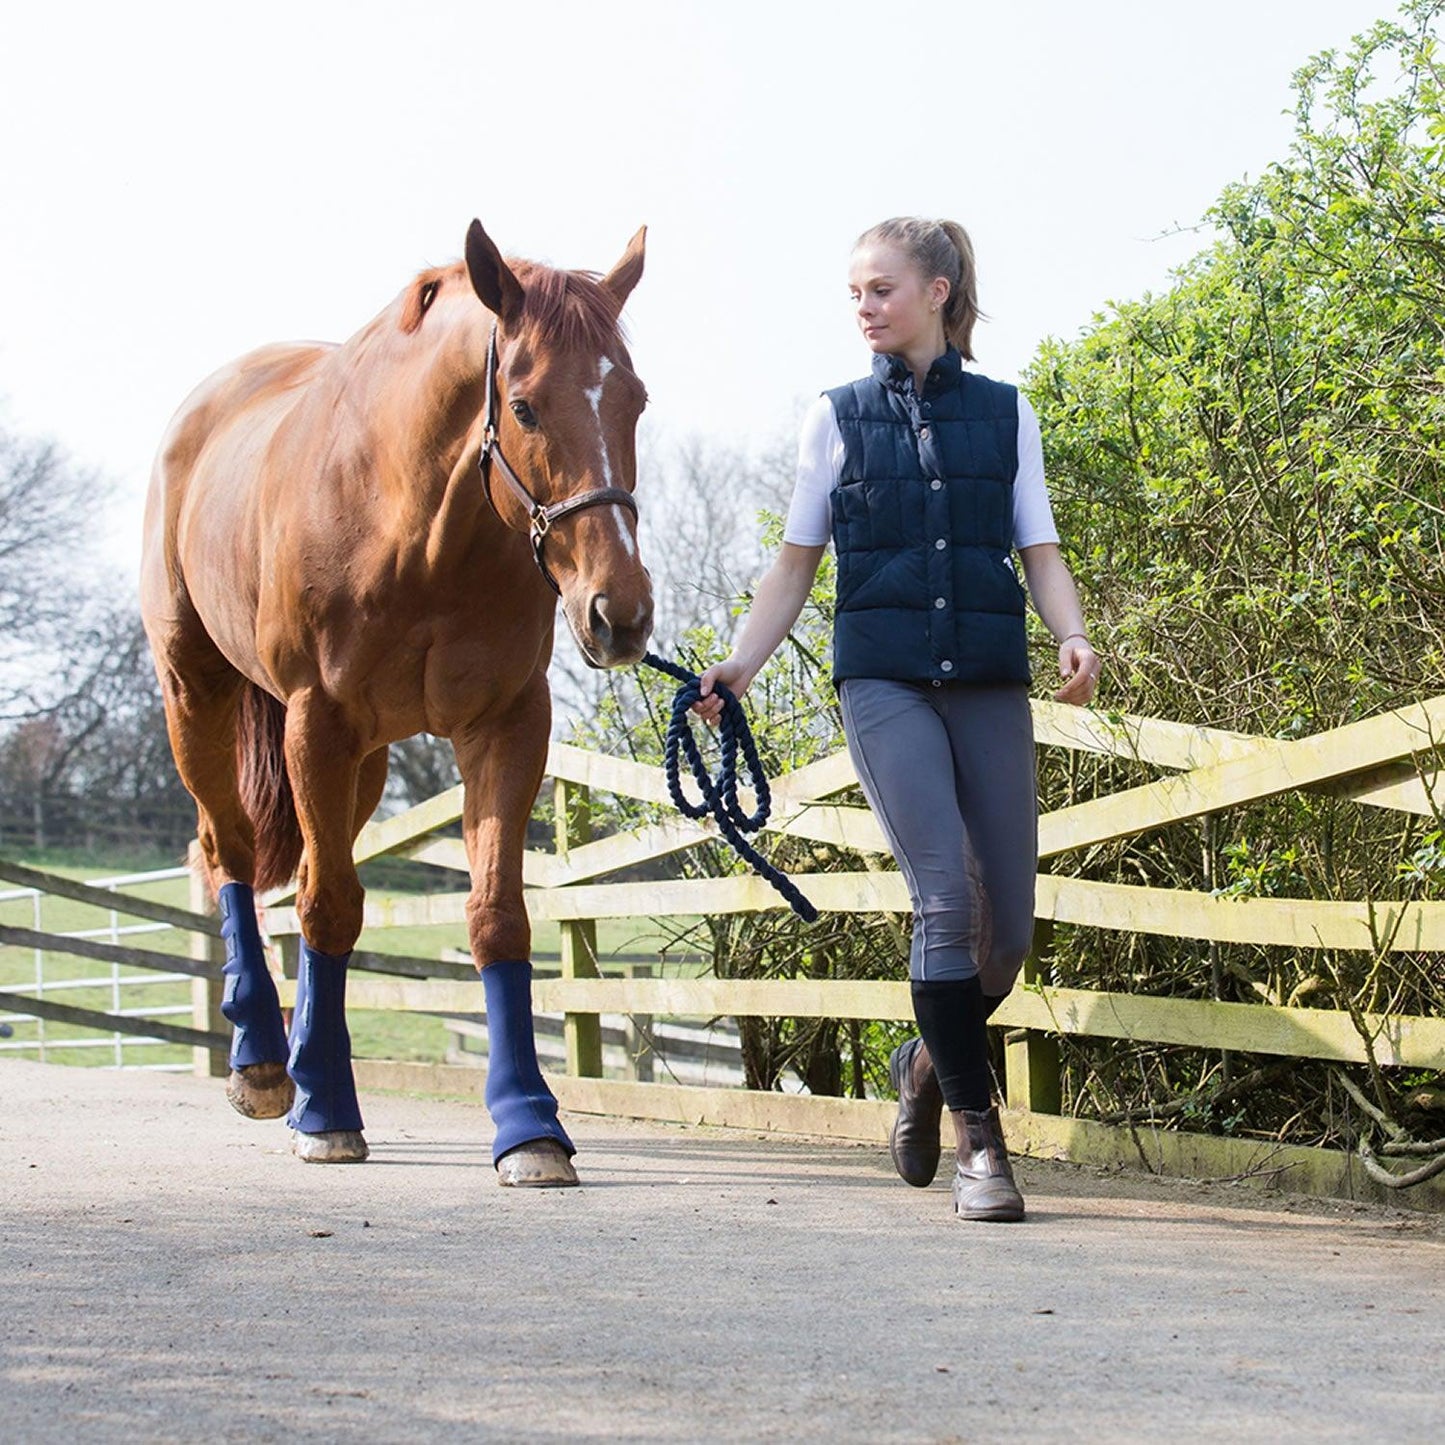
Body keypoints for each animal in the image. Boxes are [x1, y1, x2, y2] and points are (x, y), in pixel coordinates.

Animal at [139, 216, 650, 1184]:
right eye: (524, 405)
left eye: (634, 400)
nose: (621, 612)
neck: (416, 531)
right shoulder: (316, 722)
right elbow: (330, 905)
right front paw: (327, 1113)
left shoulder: (505, 726)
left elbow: (494, 916)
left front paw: (529, 1125)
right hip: (196, 695)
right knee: (228, 850)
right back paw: (265, 1063)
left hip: (367, 760)